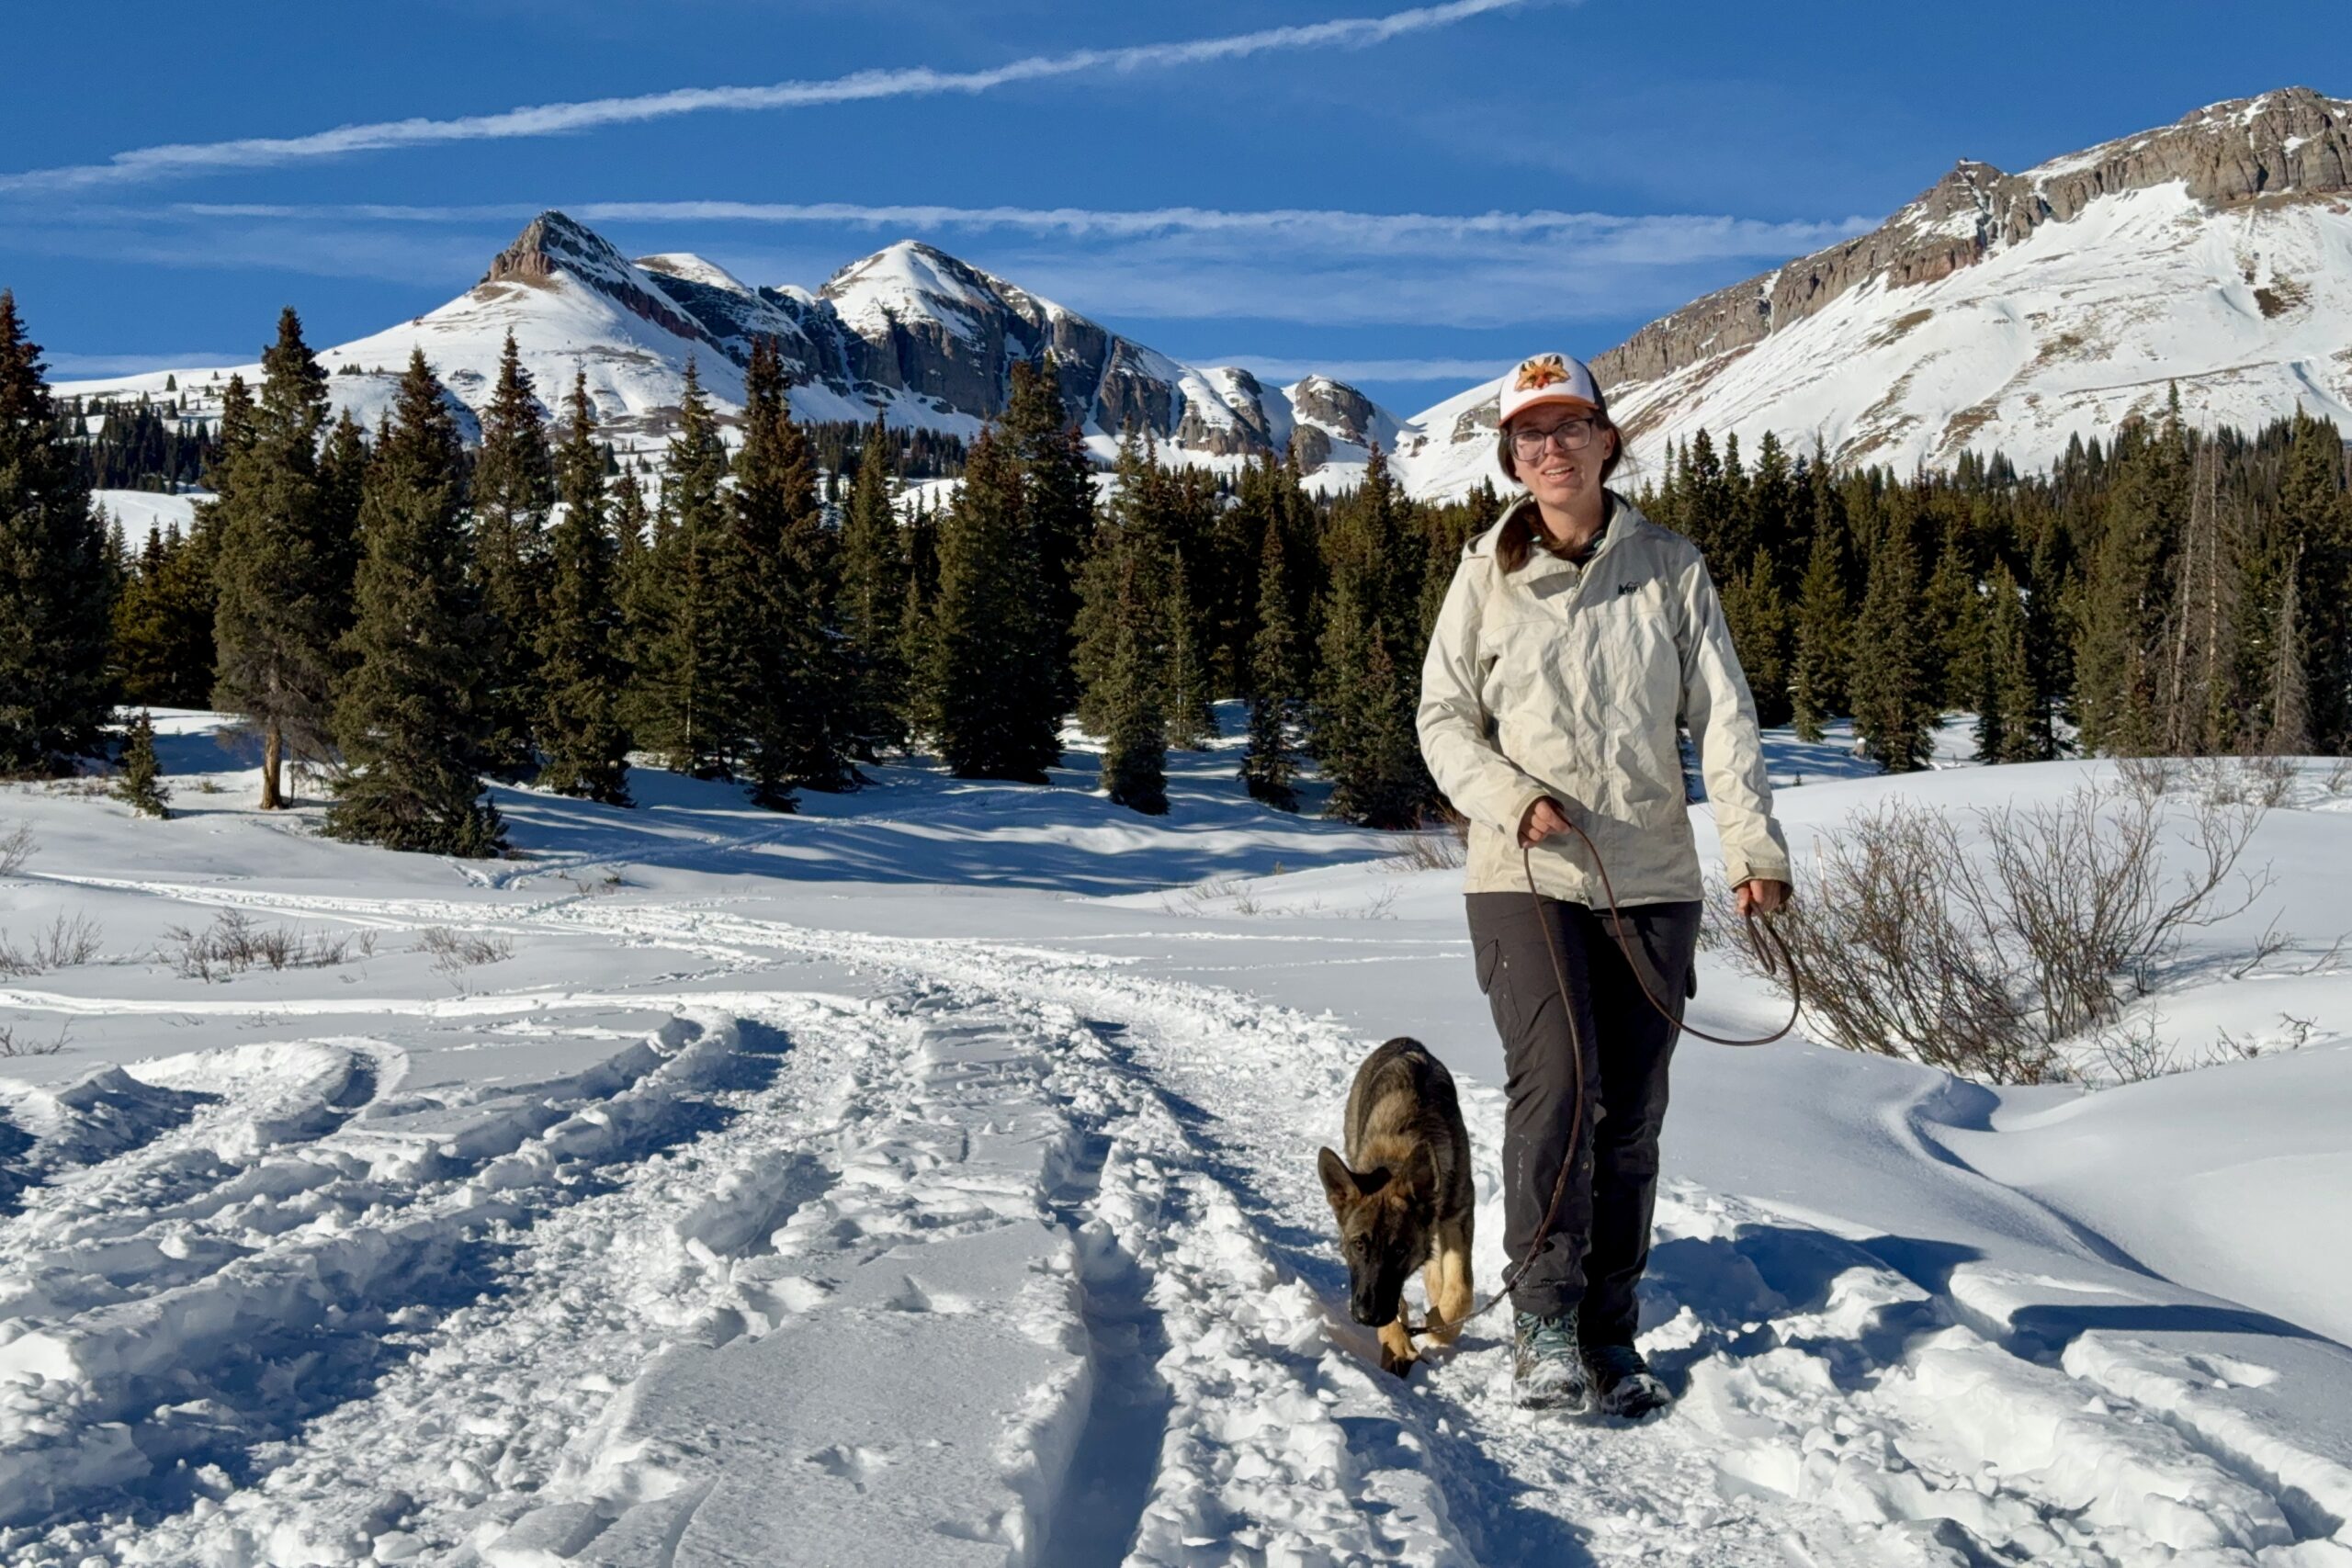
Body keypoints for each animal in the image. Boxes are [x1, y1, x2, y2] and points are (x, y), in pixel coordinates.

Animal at [1326, 1034, 1467, 1382]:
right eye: (1358, 1244)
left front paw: (1439, 1323)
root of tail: (1403, 1040)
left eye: (1400, 1250)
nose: (1367, 1316)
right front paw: (1397, 1343)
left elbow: (1460, 1290)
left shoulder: (1457, 1215)